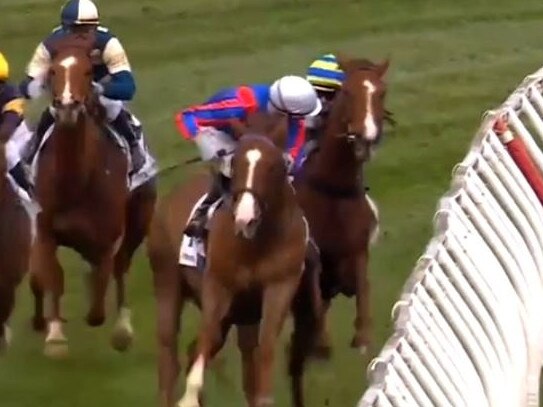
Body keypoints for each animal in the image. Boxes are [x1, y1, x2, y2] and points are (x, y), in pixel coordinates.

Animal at [30, 31, 157, 356]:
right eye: (53, 71)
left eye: (89, 72)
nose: (67, 107)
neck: (75, 181)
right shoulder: (45, 230)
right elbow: (54, 276)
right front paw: (55, 335)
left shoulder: (107, 238)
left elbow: (99, 303)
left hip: (140, 218)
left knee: (121, 267)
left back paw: (123, 328)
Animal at [147, 112, 320, 407]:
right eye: (236, 164)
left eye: (273, 166)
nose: (245, 218)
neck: (256, 244)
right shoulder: (218, 285)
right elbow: (206, 337)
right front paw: (189, 397)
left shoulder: (279, 286)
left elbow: (265, 346)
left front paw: (264, 398)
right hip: (167, 281)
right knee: (170, 354)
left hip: (241, 314)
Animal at [296, 55, 388, 356]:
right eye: (347, 92)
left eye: (381, 92)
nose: (365, 136)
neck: (333, 189)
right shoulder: (310, 254)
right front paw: (321, 342)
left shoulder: (357, 251)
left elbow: (362, 287)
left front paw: (363, 338)